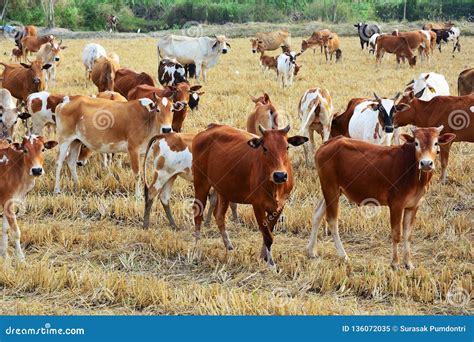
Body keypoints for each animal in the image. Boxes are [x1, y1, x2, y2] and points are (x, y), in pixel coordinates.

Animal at [52, 95, 181, 196]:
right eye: (158, 110)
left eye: (172, 110)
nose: (166, 129)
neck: (147, 119)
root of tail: (67, 99)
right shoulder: (133, 149)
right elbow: (137, 174)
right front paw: (138, 196)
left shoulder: (142, 153)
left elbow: (142, 173)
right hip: (64, 139)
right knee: (58, 163)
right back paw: (57, 190)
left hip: (76, 141)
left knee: (71, 162)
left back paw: (78, 186)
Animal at [192, 124, 308, 266]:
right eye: (265, 148)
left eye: (287, 147)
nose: (280, 175)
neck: (274, 186)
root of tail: (210, 128)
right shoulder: (257, 205)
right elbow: (267, 235)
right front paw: (271, 263)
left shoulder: (279, 206)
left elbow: (268, 231)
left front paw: (264, 256)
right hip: (201, 183)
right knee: (198, 216)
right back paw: (196, 251)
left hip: (223, 190)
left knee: (219, 215)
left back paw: (228, 246)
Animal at [308, 127, 456, 270]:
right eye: (416, 143)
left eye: (436, 143)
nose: (426, 163)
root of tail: (327, 144)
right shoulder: (396, 205)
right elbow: (396, 235)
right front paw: (395, 263)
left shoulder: (413, 206)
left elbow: (408, 235)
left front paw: (408, 263)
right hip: (330, 188)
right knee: (332, 221)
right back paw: (343, 256)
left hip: (332, 191)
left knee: (317, 215)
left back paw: (311, 250)